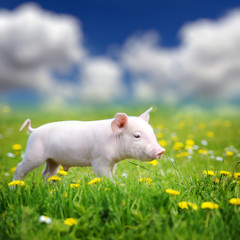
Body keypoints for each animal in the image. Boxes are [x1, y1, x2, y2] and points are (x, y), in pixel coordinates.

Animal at [13, 108, 165, 181]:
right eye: (137, 136)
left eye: (152, 132)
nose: (161, 150)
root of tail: (34, 130)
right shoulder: (99, 159)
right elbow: (105, 176)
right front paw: (114, 187)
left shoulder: (112, 162)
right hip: (34, 154)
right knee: (20, 167)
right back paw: (15, 187)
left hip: (53, 160)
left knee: (47, 173)